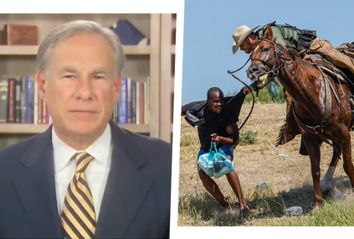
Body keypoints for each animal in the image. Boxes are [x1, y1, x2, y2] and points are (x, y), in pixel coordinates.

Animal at [246, 25, 354, 206]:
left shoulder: (345, 133)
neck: (313, 93)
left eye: (266, 49)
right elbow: (315, 170)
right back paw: (327, 183)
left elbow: (348, 165)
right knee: (335, 151)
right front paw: (317, 203)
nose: (251, 71)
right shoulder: (310, 138)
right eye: (250, 54)